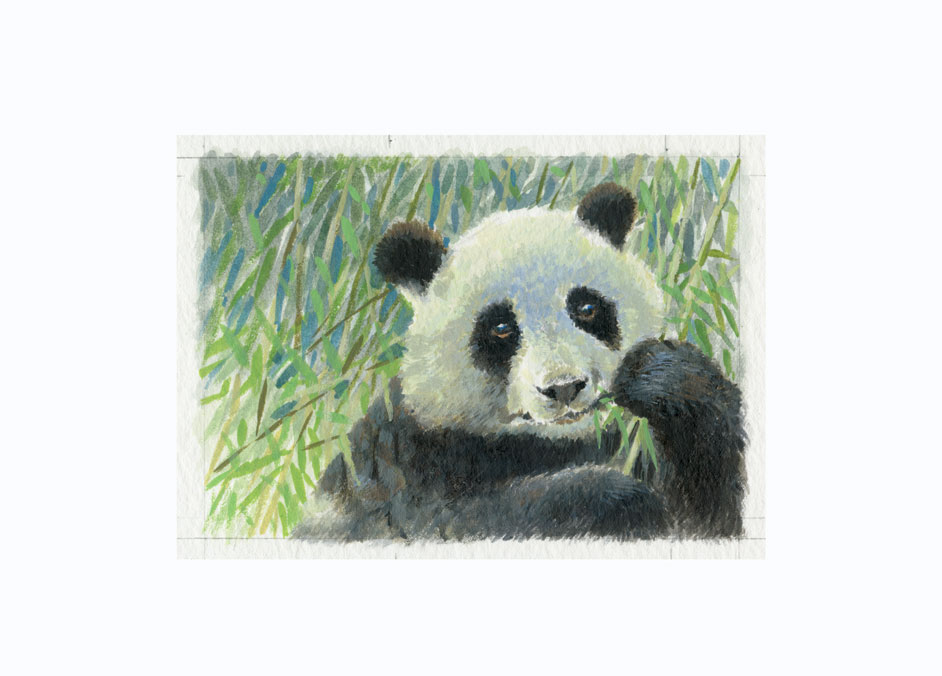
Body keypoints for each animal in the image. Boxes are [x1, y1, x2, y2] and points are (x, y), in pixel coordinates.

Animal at [295, 182, 746, 541]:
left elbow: (709, 510)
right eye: (500, 328)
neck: (550, 447)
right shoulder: (405, 461)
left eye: (586, 307)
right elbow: (453, 520)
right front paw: (614, 499)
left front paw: (662, 378)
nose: (563, 387)